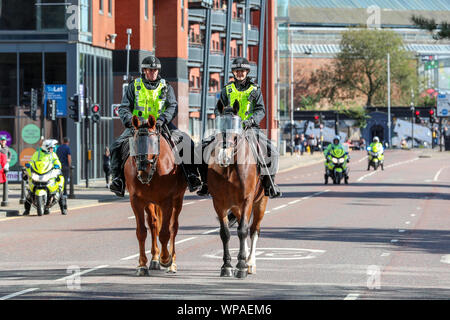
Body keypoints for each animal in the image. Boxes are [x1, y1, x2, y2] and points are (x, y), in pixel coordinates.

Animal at [123, 114, 186, 276]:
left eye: (153, 142)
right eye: (134, 143)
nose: (143, 171)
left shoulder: (167, 200)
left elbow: (165, 232)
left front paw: (166, 259)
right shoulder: (136, 200)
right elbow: (141, 232)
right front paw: (142, 265)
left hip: (178, 199)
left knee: (173, 227)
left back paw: (171, 263)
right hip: (150, 202)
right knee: (153, 223)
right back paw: (155, 259)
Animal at [206, 101, 268, 278]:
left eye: (236, 133)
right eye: (218, 128)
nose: (223, 157)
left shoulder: (247, 200)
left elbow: (243, 231)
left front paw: (241, 267)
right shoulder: (219, 203)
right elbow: (226, 233)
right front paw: (227, 266)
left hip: (260, 203)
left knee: (253, 230)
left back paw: (250, 263)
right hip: (236, 207)